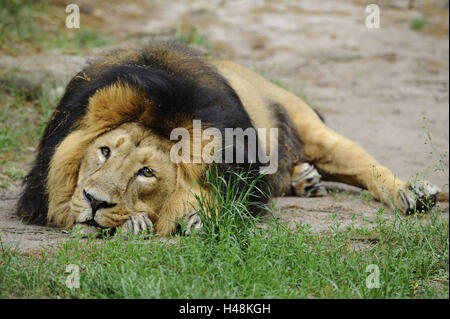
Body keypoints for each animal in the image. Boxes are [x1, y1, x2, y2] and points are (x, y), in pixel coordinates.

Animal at [15, 42, 444, 238]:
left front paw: (189, 217)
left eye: (147, 173)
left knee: (368, 166)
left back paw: (411, 193)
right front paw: (134, 220)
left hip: (310, 126)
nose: (94, 201)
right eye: (103, 151)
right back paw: (305, 180)